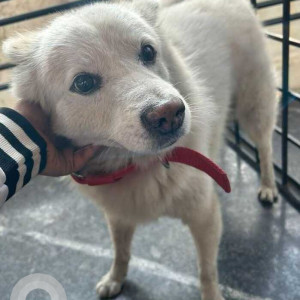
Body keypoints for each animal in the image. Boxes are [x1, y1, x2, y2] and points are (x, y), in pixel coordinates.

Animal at [3, 1, 278, 298]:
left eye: (148, 51)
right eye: (83, 83)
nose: (170, 114)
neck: (140, 164)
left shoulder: (204, 217)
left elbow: (207, 271)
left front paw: (212, 295)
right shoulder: (118, 215)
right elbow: (120, 251)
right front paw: (115, 279)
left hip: (253, 109)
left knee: (265, 147)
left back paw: (268, 187)